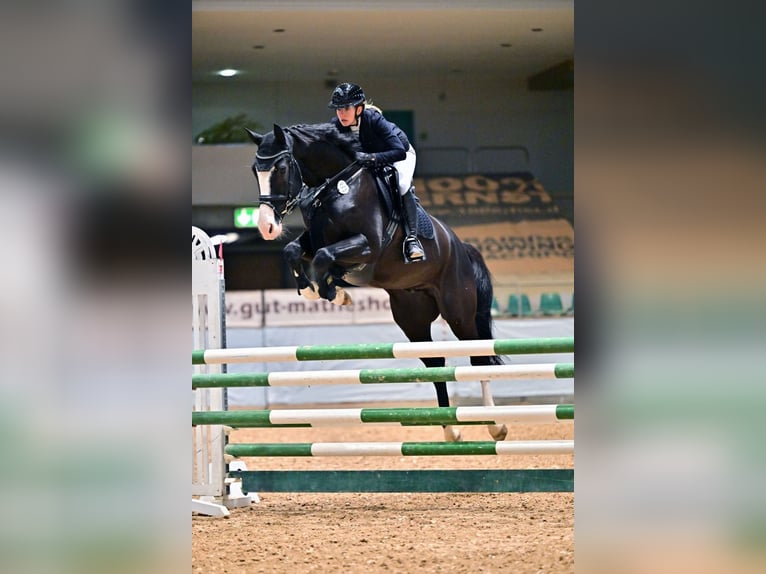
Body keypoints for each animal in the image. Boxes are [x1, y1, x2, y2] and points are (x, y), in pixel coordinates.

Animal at [249, 124, 508, 444]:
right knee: (435, 364)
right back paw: (451, 430)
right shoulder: (316, 241)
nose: (266, 227)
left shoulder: (367, 246)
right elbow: (294, 251)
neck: (337, 186)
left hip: (458, 311)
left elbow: (323, 258)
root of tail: (461, 246)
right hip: (412, 318)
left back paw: (496, 425)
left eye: (282, 168)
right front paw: (319, 291)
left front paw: (334, 292)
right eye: (255, 170)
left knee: (479, 356)